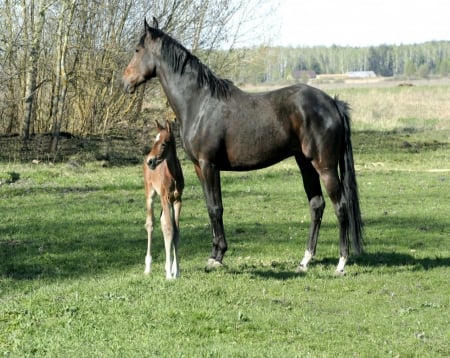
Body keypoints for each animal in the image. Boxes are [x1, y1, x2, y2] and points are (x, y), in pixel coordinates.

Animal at [143, 119, 184, 278]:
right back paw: (147, 267)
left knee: (162, 221)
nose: (150, 161)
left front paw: (175, 271)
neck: (172, 176)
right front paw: (169, 276)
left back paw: (169, 267)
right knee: (151, 224)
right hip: (151, 194)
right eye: (155, 140)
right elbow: (168, 229)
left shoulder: (178, 200)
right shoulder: (165, 198)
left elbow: (176, 231)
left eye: (164, 143)